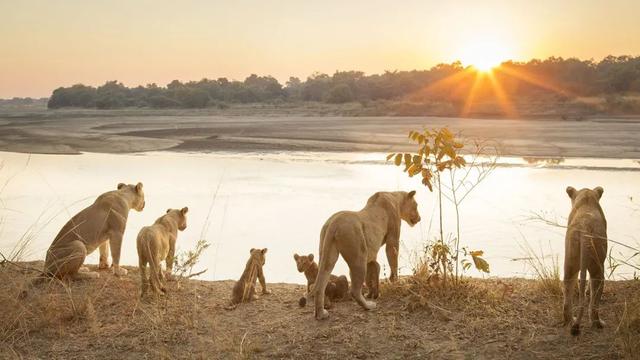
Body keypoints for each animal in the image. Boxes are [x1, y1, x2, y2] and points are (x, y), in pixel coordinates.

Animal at [314, 190, 420, 320]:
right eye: (416, 205)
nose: (419, 218)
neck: (395, 197)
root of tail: (333, 223)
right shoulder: (393, 239)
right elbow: (393, 259)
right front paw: (395, 281)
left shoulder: (372, 251)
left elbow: (372, 271)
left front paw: (373, 292)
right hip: (359, 255)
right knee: (354, 290)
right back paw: (369, 306)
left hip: (328, 254)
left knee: (319, 285)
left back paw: (321, 314)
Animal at [564, 186, 608, 334]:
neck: (587, 199)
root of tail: (584, 229)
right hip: (598, 266)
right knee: (594, 300)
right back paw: (598, 323)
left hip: (570, 260)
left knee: (567, 291)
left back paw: (570, 321)